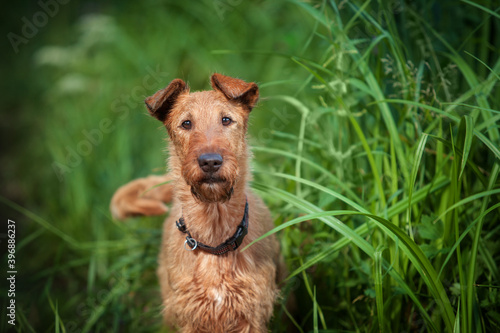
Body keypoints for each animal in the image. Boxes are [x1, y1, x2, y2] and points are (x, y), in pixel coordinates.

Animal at [112, 74, 286, 332]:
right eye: (186, 123)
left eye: (226, 119)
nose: (210, 162)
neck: (215, 241)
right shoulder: (189, 318)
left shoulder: (253, 315)